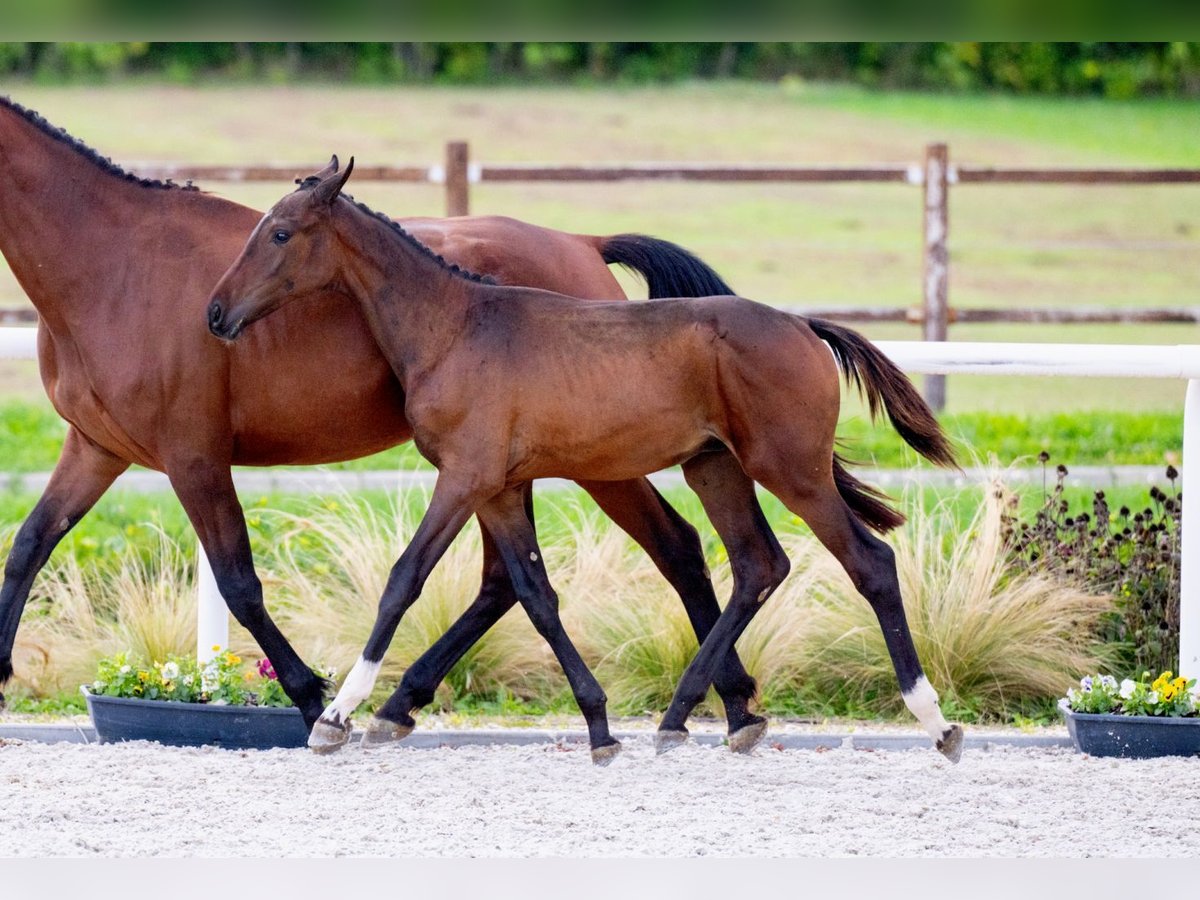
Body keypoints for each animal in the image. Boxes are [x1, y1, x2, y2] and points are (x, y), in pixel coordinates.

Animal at [208, 160, 964, 763]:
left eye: (280, 233)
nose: (216, 313)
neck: (454, 326)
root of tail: (804, 327)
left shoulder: (463, 478)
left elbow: (404, 580)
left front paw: (336, 716)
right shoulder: (498, 488)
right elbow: (535, 594)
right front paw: (600, 727)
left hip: (790, 471)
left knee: (869, 564)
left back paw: (935, 722)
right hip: (715, 468)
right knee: (758, 563)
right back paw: (684, 717)